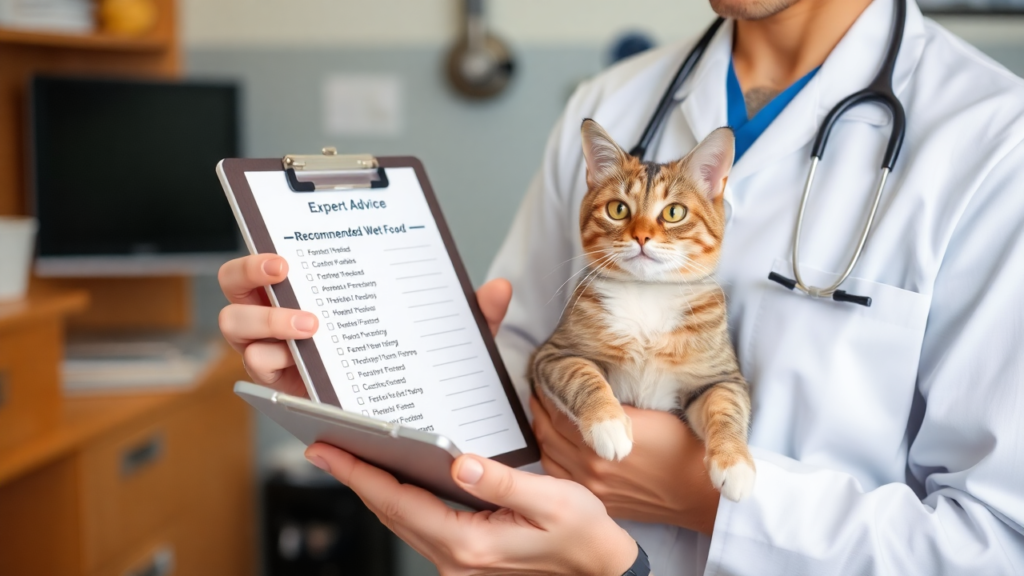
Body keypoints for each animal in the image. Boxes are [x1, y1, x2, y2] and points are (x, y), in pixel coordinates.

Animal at [532, 118, 757, 500]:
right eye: (618, 209)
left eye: (674, 212)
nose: (640, 237)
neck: (647, 293)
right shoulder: (552, 354)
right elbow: (582, 374)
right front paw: (607, 423)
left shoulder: (719, 377)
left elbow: (727, 405)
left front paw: (735, 463)